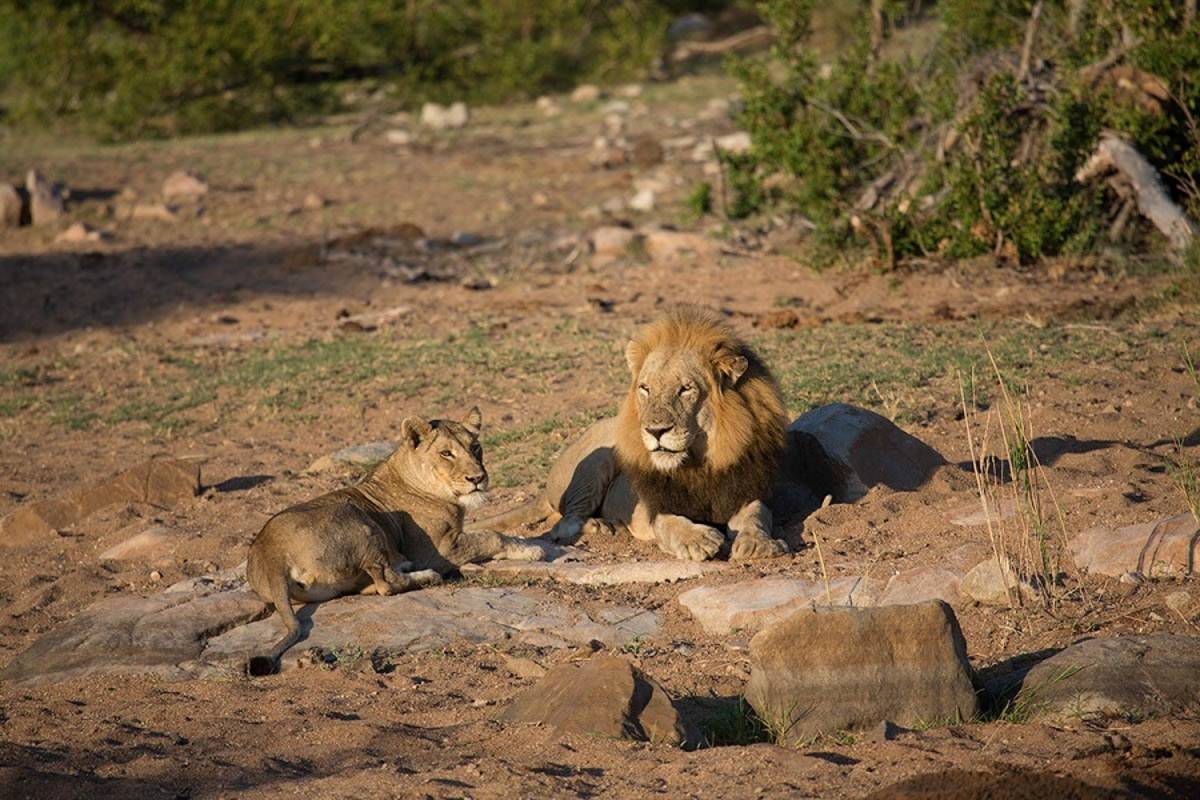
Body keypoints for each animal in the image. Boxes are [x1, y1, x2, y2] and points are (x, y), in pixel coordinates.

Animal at [247, 410, 561, 671]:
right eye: (446, 453)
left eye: (475, 447)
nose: (477, 478)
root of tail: (270, 553)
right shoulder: (439, 549)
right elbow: (492, 536)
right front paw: (532, 549)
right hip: (357, 519)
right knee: (388, 584)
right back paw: (425, 575)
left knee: (375, 584)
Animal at [470, 309, 806, 563]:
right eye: (645, 389)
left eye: (685, 389)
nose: (655, 431)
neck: (699, 463)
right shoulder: (657, 507)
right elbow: (671, 524)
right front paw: (698, 540)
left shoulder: (746, 489)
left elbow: (756, 515)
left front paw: (758, 543)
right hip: (597, 458)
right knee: (563, 524)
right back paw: (603, 526)